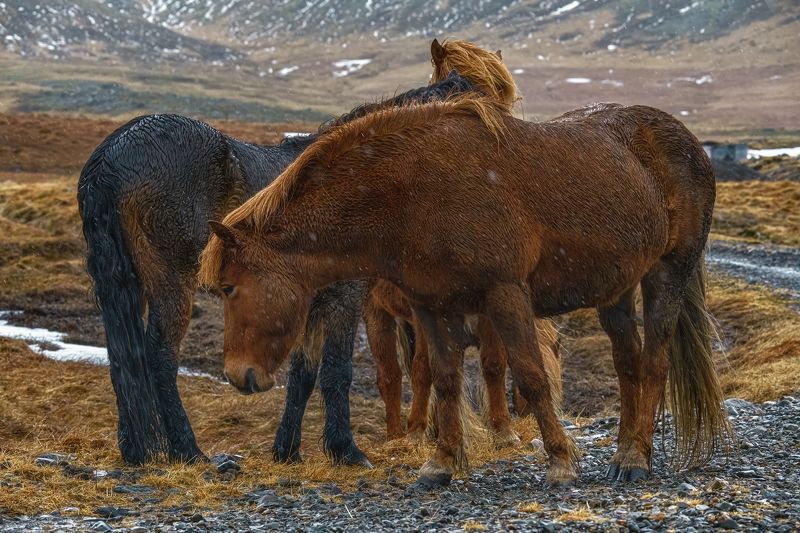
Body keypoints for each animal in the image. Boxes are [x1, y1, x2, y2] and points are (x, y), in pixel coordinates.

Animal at [78, 68, 482, 464]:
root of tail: (109, 159)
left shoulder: (310, 303)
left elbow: (304, 375)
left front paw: (287, 451)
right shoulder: (345, 297)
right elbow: (337, 371)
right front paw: (345, 450)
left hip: (124, 284)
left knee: (124, 358)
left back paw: (135, 451)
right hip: (172, 281)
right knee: (158, 356)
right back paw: (189, 452)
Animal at [364, 276, 564, 442]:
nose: (533, 419)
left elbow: (493, 364)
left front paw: (503, 431)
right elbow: (424, 368)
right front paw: (416, 432)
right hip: (376, 311)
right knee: (389, 375)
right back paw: (395, 436)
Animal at [428, 37, 736, 478]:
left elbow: (499, 364)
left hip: (669, 271)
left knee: (654, 360)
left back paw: (636, 457)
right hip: (616, 286)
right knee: (628, 362)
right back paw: (623, 449)